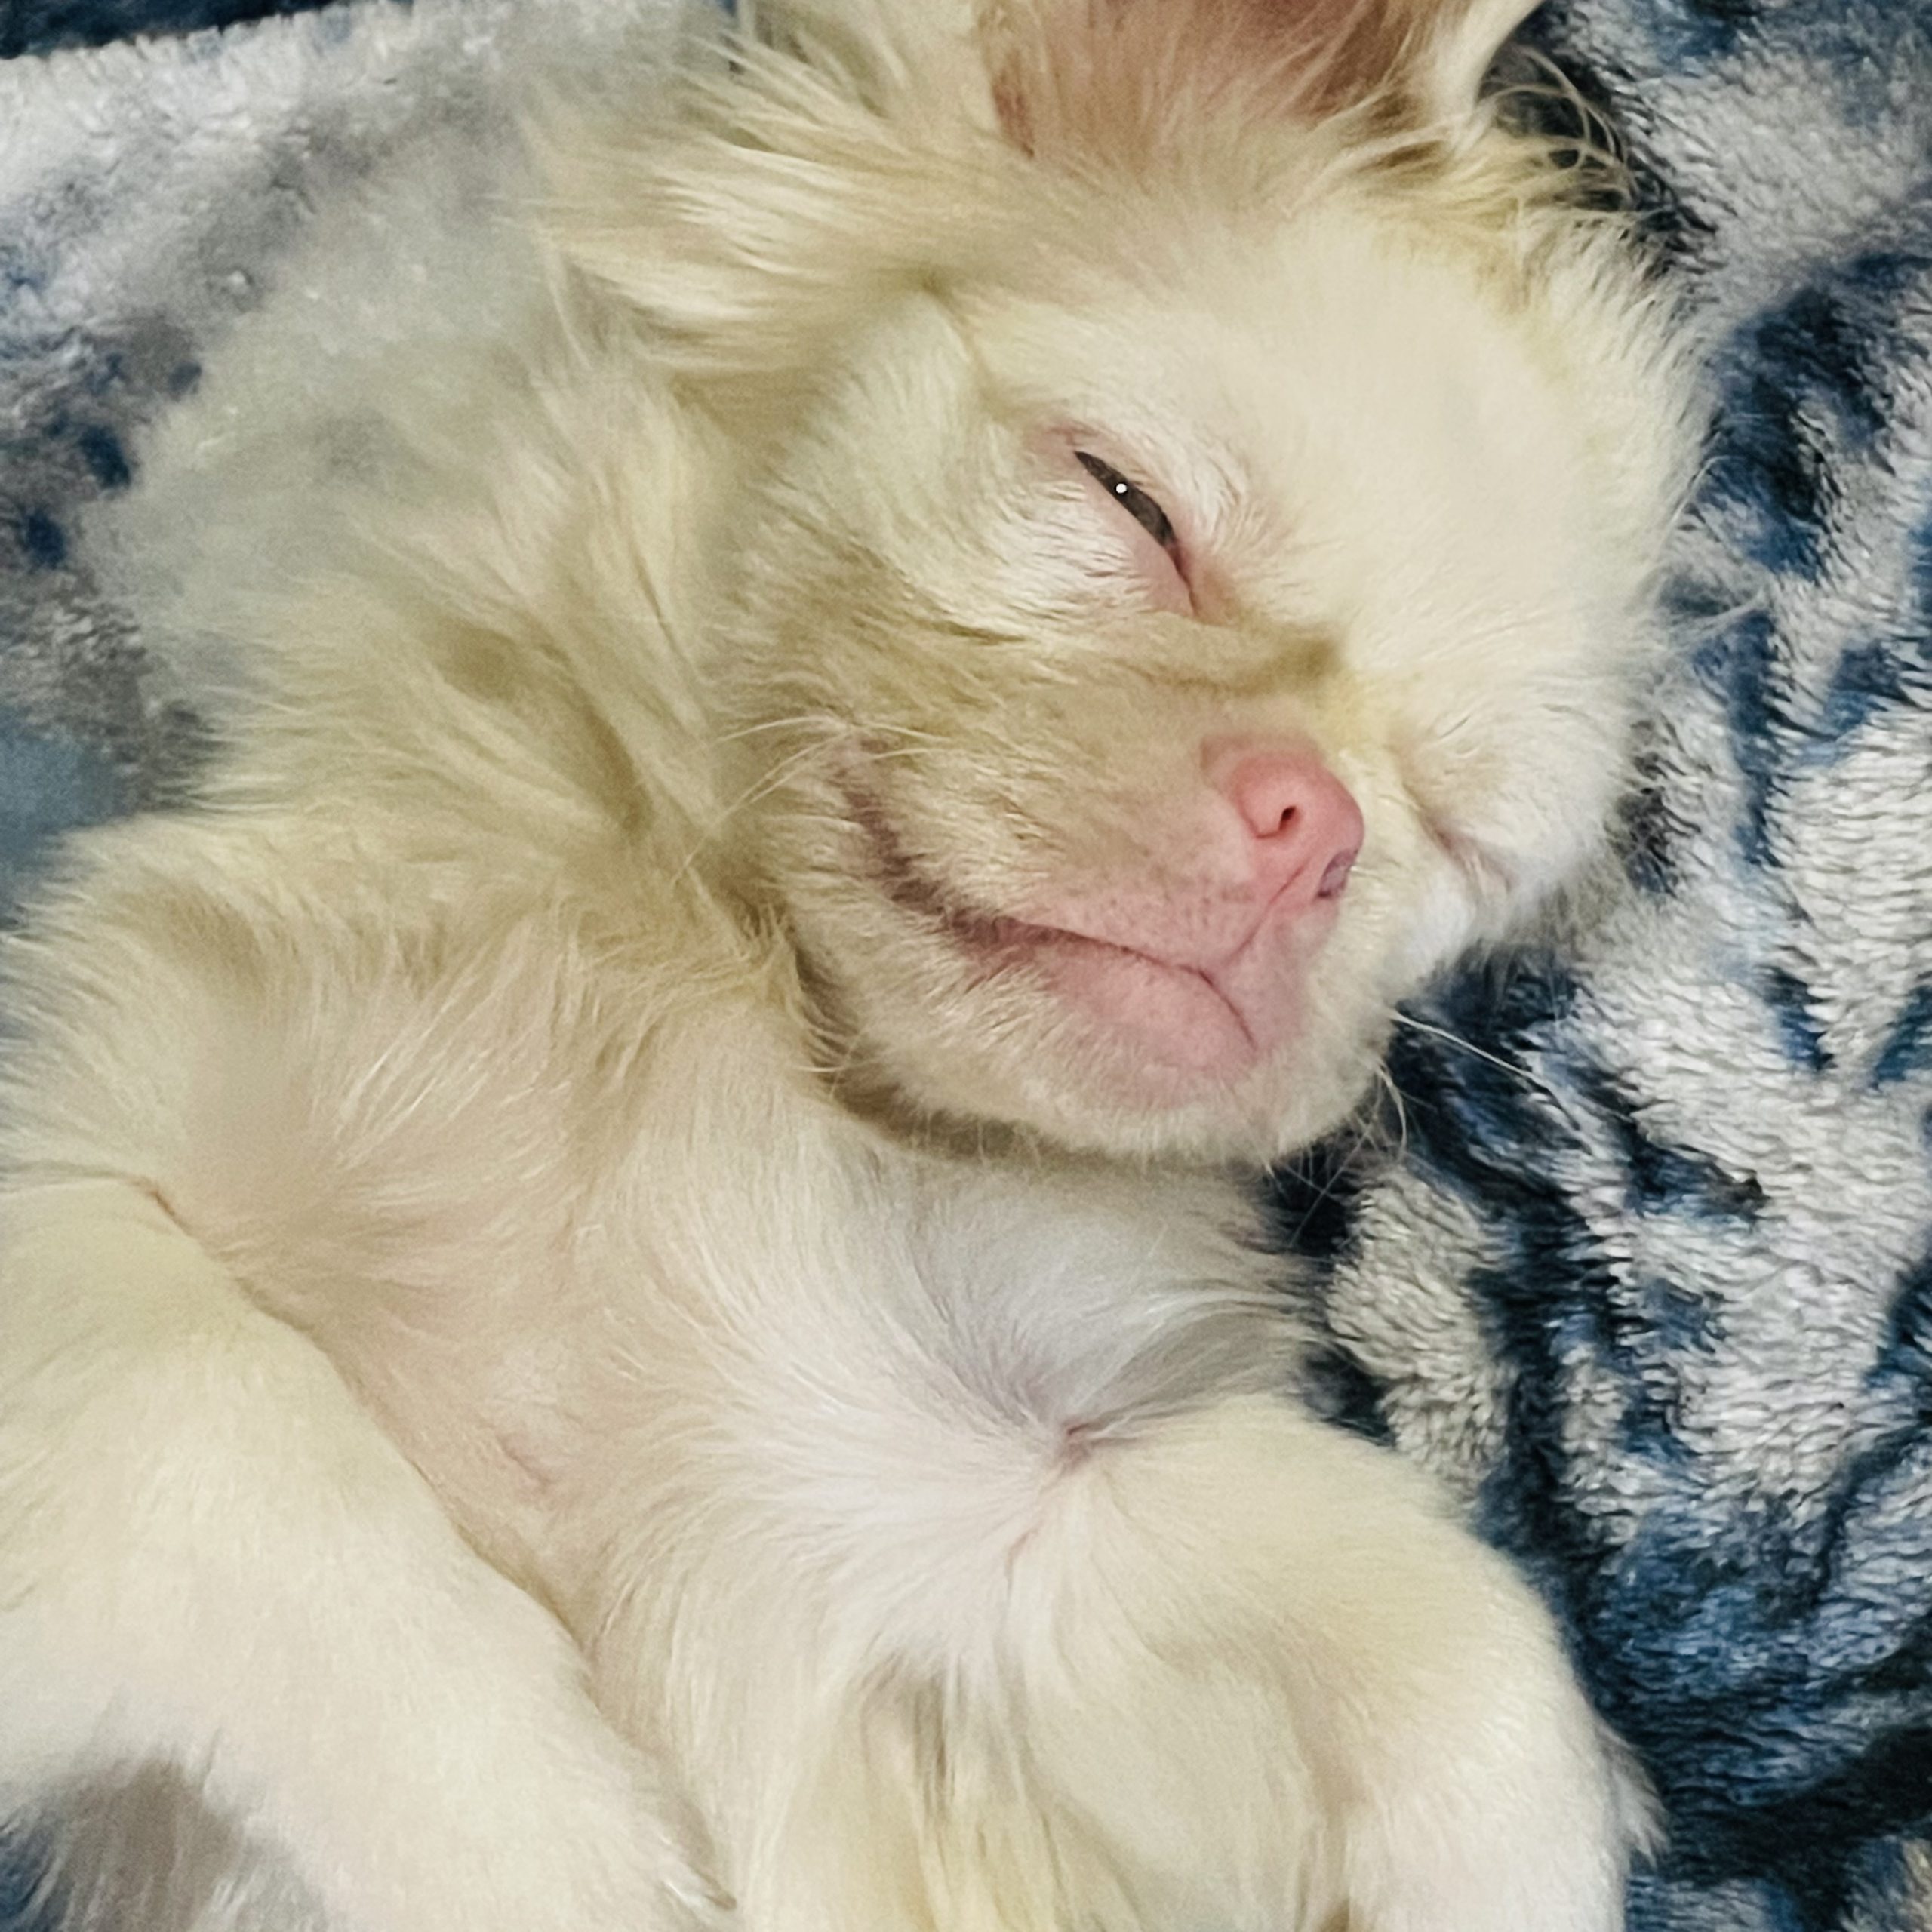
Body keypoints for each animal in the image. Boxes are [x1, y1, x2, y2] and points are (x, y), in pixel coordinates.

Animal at [0, 0, 1701, 1926]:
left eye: (1459, 837)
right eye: (1132, 506)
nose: (1312, 824)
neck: (739, 989)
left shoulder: (1018, 1515)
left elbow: (1460, 1645)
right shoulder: (84, 1149)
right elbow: (195, 1411)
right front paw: (545, 1833)